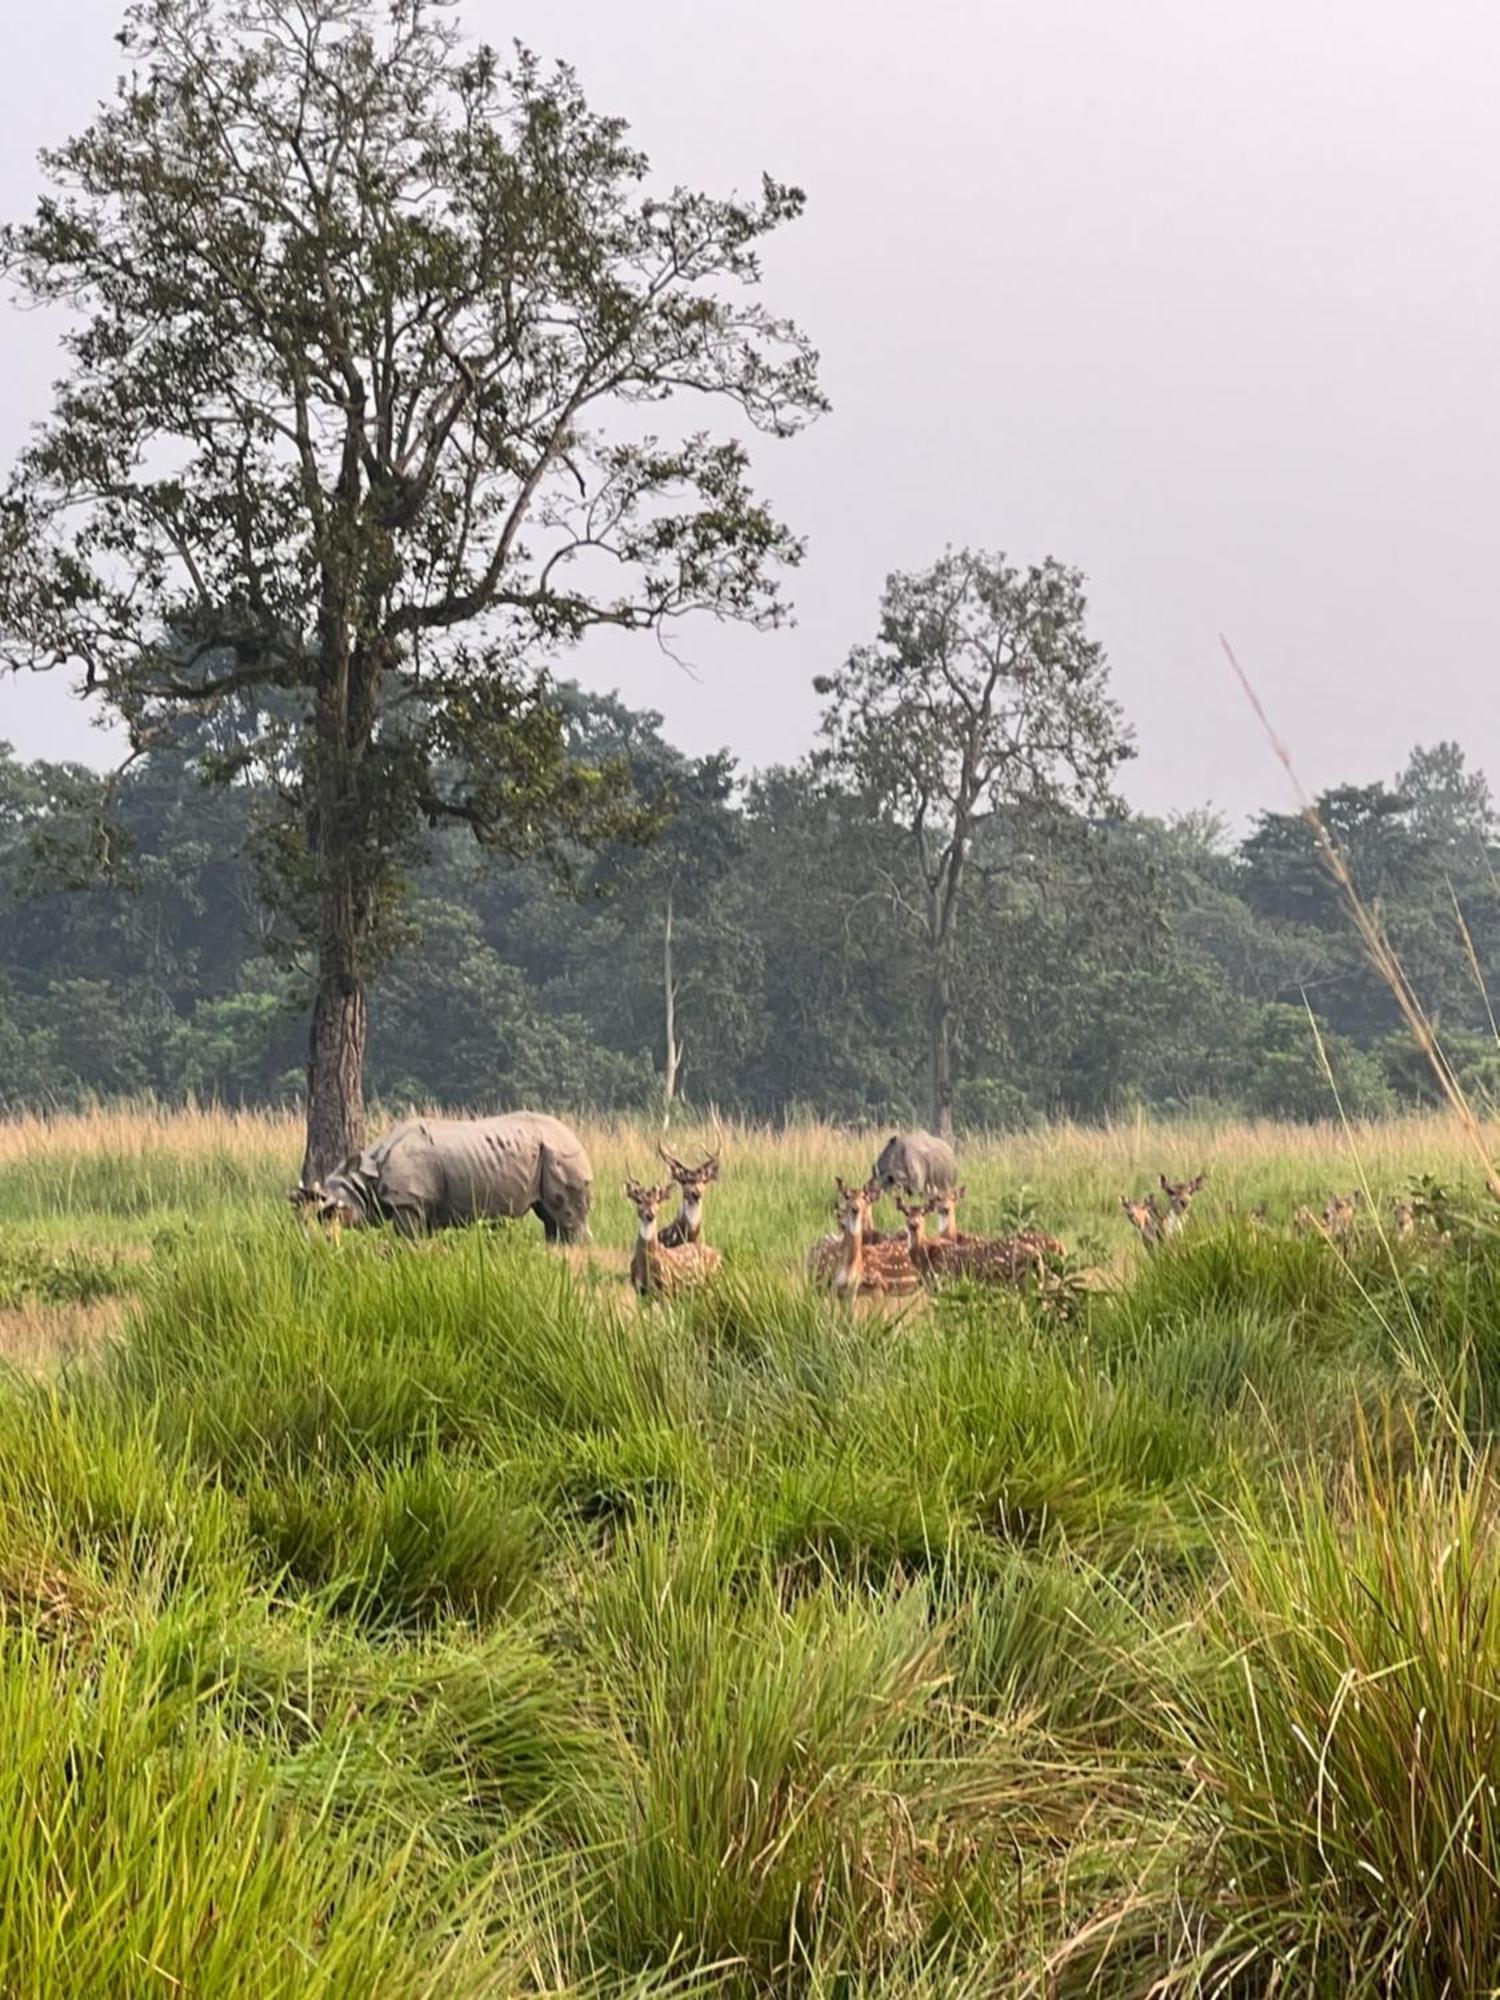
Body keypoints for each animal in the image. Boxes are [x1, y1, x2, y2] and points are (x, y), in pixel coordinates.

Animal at [624, 1176, 724, 1304]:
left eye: (658, 1200)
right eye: (639, 1200)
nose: (650, 1214)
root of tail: (719, 1254)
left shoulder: (666, 1287)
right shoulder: (638, 1289)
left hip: (714, 1281)